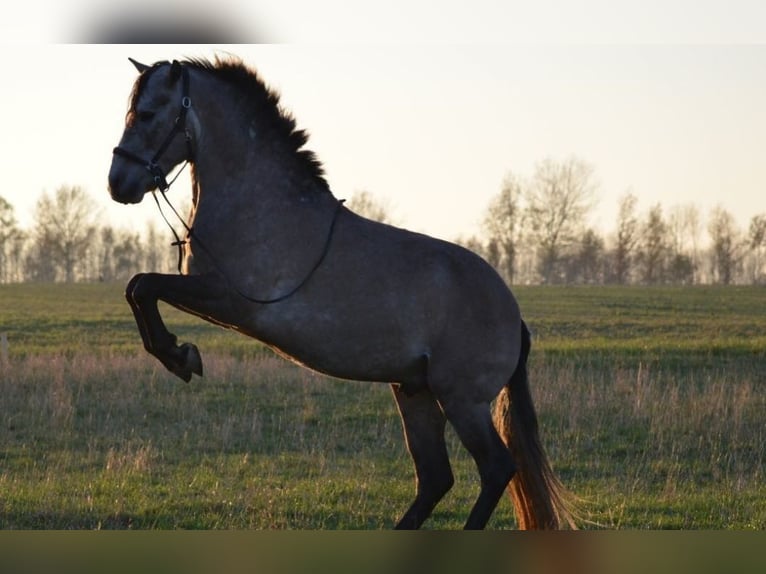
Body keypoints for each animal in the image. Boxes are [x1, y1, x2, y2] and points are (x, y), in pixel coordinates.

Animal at [108, 56, 576, 532]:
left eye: (147, 114)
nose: (118, 183)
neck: (259, 205)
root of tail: (514, 316)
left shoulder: (228, 299)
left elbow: (143, 285)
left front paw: (179, 356)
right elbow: (136, 287)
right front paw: (177, 354)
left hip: (463, 401)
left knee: (495, 469)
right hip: (416, 394)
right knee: (435, 479)